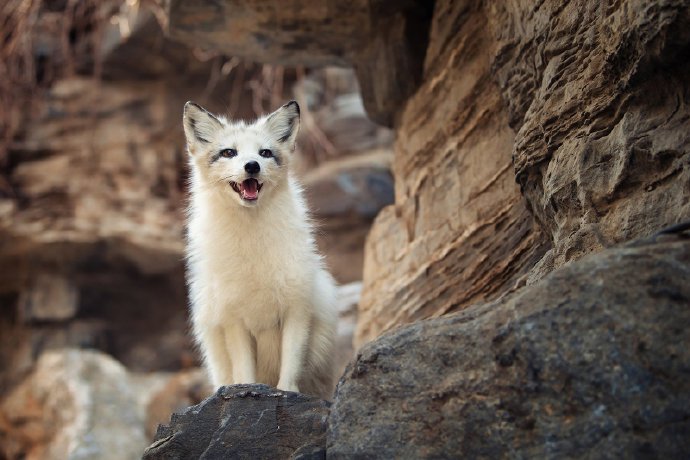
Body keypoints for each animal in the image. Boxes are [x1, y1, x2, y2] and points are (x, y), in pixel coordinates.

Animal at [181, 100, 334, 398]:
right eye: (229, 152)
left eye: (265, 153)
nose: (252, 165)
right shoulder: (234, 320)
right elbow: (245, 371)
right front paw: (248, 391)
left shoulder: (297, 308)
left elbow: (291, 365)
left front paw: (287, 393)